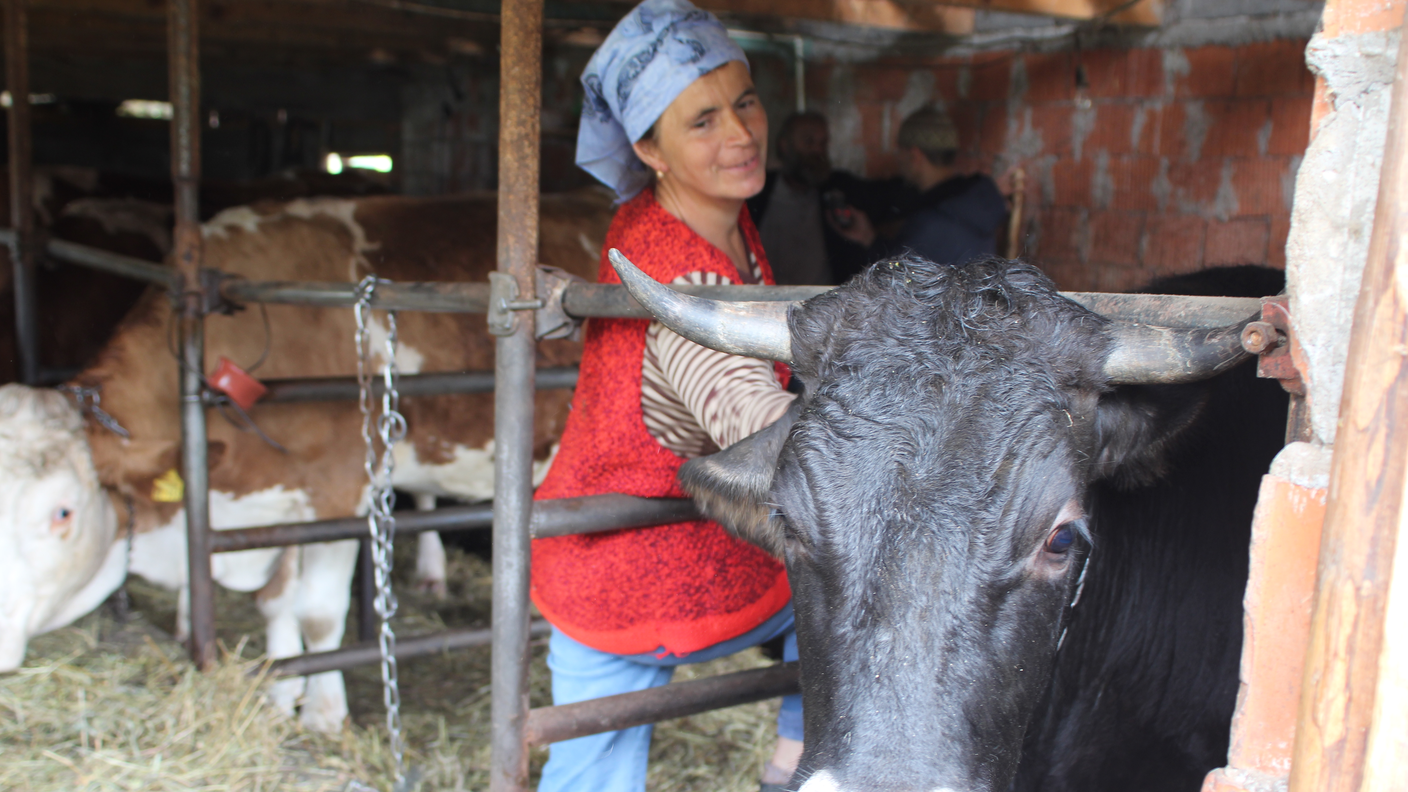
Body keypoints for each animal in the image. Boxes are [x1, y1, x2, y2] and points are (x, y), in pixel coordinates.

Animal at [0, 188, 612, 732]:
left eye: (61, 513)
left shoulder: (336, 494)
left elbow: (318, 612)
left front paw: (323, 712)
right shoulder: (277, 502)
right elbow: (276, 602)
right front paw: (281, 692)